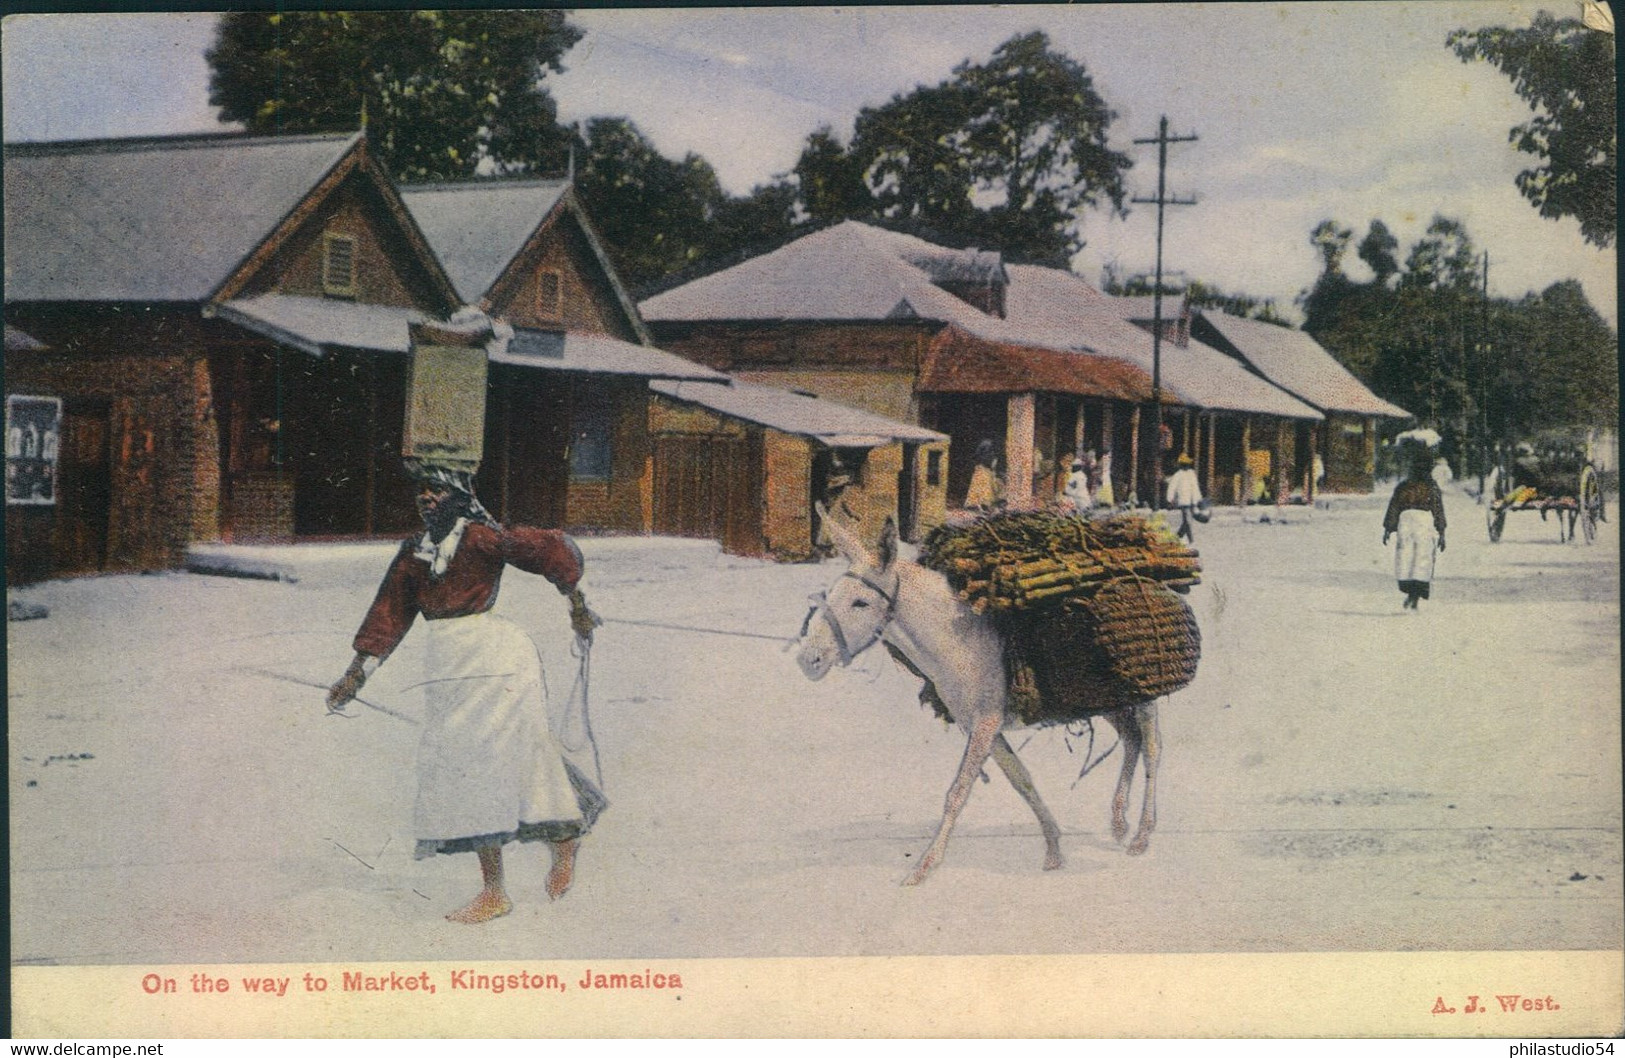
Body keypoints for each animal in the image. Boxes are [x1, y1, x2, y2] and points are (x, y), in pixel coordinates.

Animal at [793, 503, 1163, 884]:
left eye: (860, 603)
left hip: (1145, 692)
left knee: (1152, 749)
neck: (960, 640)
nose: (809, 659)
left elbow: (958, 791)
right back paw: (1119, 823)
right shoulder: (984, 727)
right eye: (831, 595)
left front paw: (924, 866)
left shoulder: (985, 725)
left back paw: (1141, 834)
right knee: (1131, 740)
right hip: (1108, 697)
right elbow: (1022, 781)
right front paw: (1054, 849)